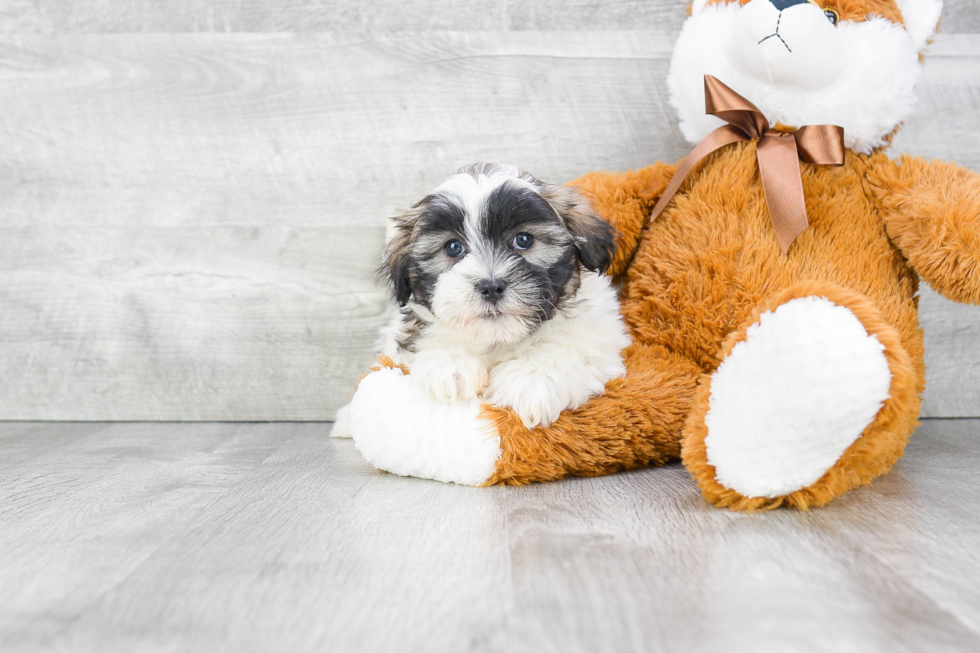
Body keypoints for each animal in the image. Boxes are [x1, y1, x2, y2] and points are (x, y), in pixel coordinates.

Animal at [334, 164, 632, 432]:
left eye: (524, 240)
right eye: (453, 247)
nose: (491, 286)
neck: (497, 340)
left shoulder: (601, 340)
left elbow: (568, 350)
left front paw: (530, 380)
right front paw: (450, 367)